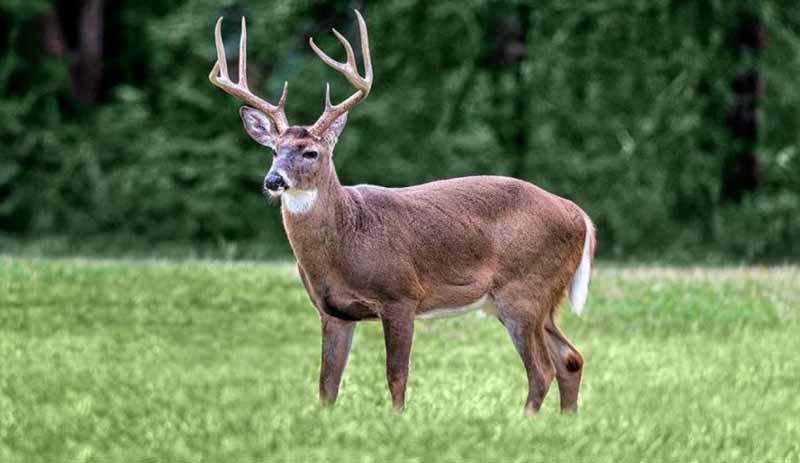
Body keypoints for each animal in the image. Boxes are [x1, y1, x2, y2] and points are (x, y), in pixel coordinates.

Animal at [206, 9, 592, 416]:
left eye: (311, 152)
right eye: (273, 150)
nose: (273, 180)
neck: (347, 239)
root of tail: (578, 213)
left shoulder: (402, 295)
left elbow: (397, 376)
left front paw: (397, 420)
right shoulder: (332, 311)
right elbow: (327, 385)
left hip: (524, 289)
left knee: (542, 369)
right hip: (537, 298)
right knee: (571, 359)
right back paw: (565, 421)